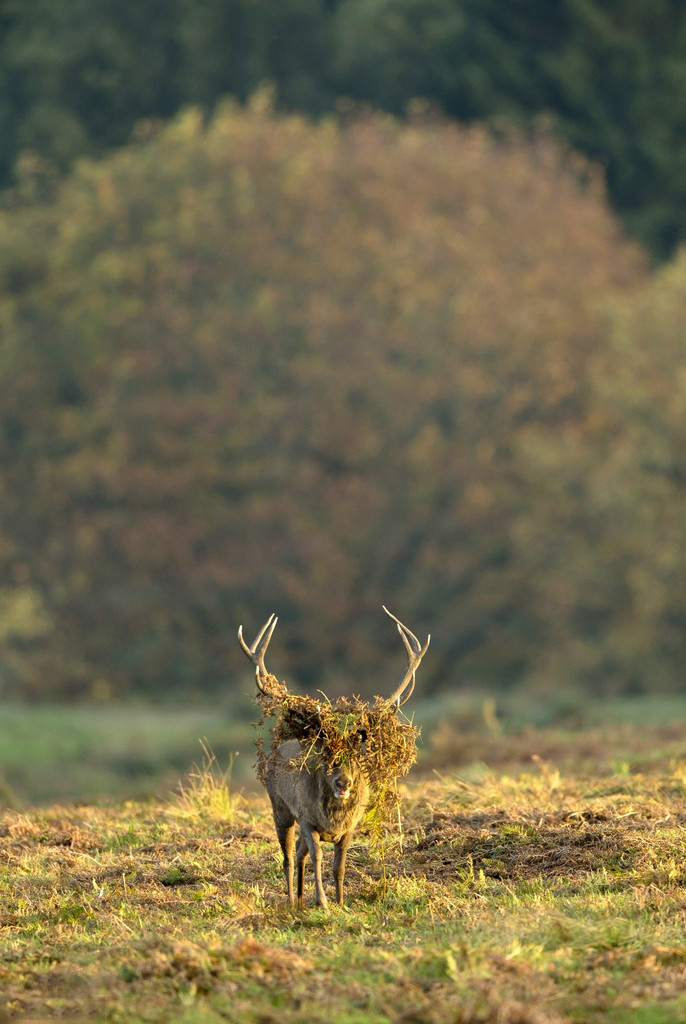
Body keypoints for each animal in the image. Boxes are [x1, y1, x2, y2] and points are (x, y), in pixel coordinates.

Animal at [238, 607, 430, 909]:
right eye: (326, 750)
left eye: (356, 750)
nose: (344, 782)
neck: (334, 820)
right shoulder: (306, 818)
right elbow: (317, 857)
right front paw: (323, 902)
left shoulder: (351, 826)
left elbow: (339, 865)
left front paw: (340, 901)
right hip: (279, 806)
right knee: (288, 857)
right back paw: (292, 900)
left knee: (299, 854)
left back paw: (301, 898)